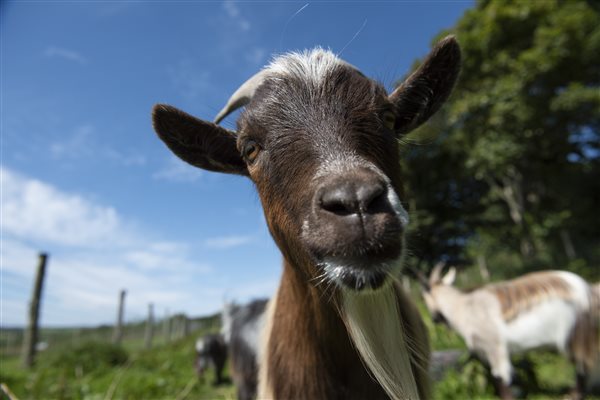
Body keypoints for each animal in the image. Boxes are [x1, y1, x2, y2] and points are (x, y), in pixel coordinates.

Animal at [420, 264, 596, 398]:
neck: (463, 306)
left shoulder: (494, 344)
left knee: (582, 365)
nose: (434, 318)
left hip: (575, 334)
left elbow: (500, 377)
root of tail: (587, 290)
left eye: (425, 297)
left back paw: (573, 395)